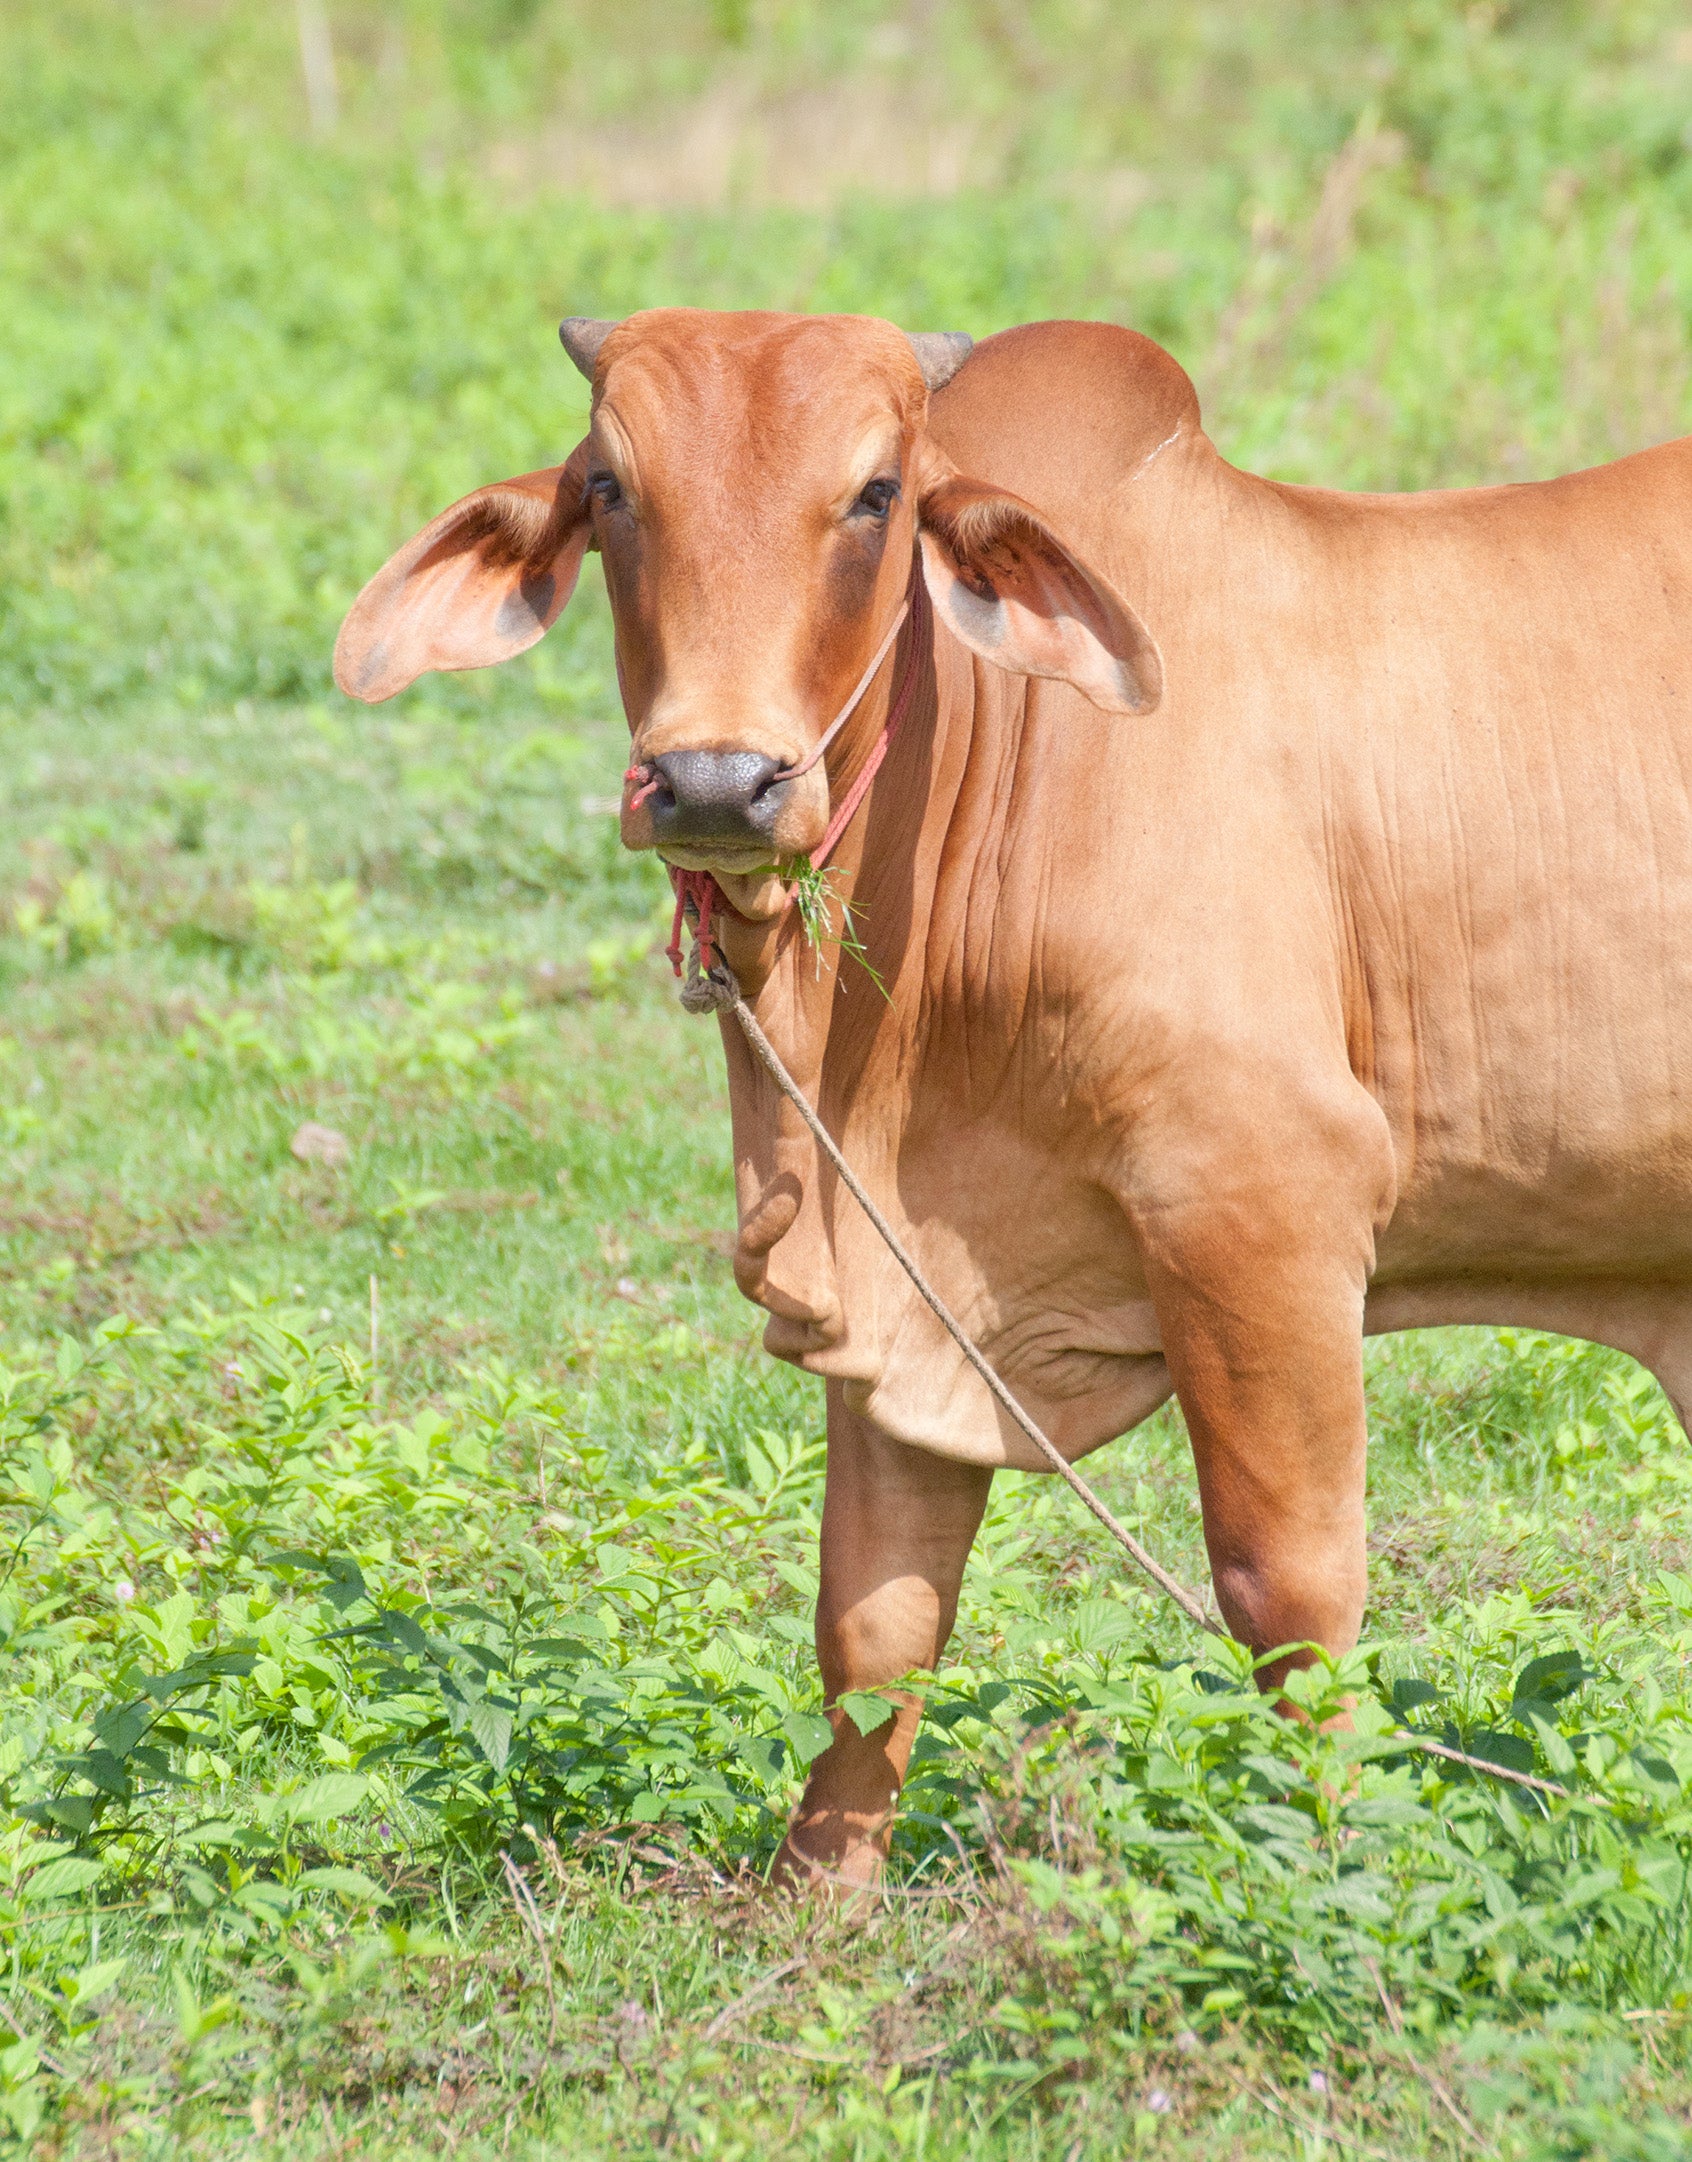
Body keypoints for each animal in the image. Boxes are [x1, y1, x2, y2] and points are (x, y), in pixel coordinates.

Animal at [336, 307, 1692, 1888]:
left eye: (877, 493)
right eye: (610, 485)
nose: (716, 780)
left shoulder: (1261, 1203)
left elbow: (1289, 1598)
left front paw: (1331, 1872)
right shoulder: (896, 1275)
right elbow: (873, 1620)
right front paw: (819, 1902)